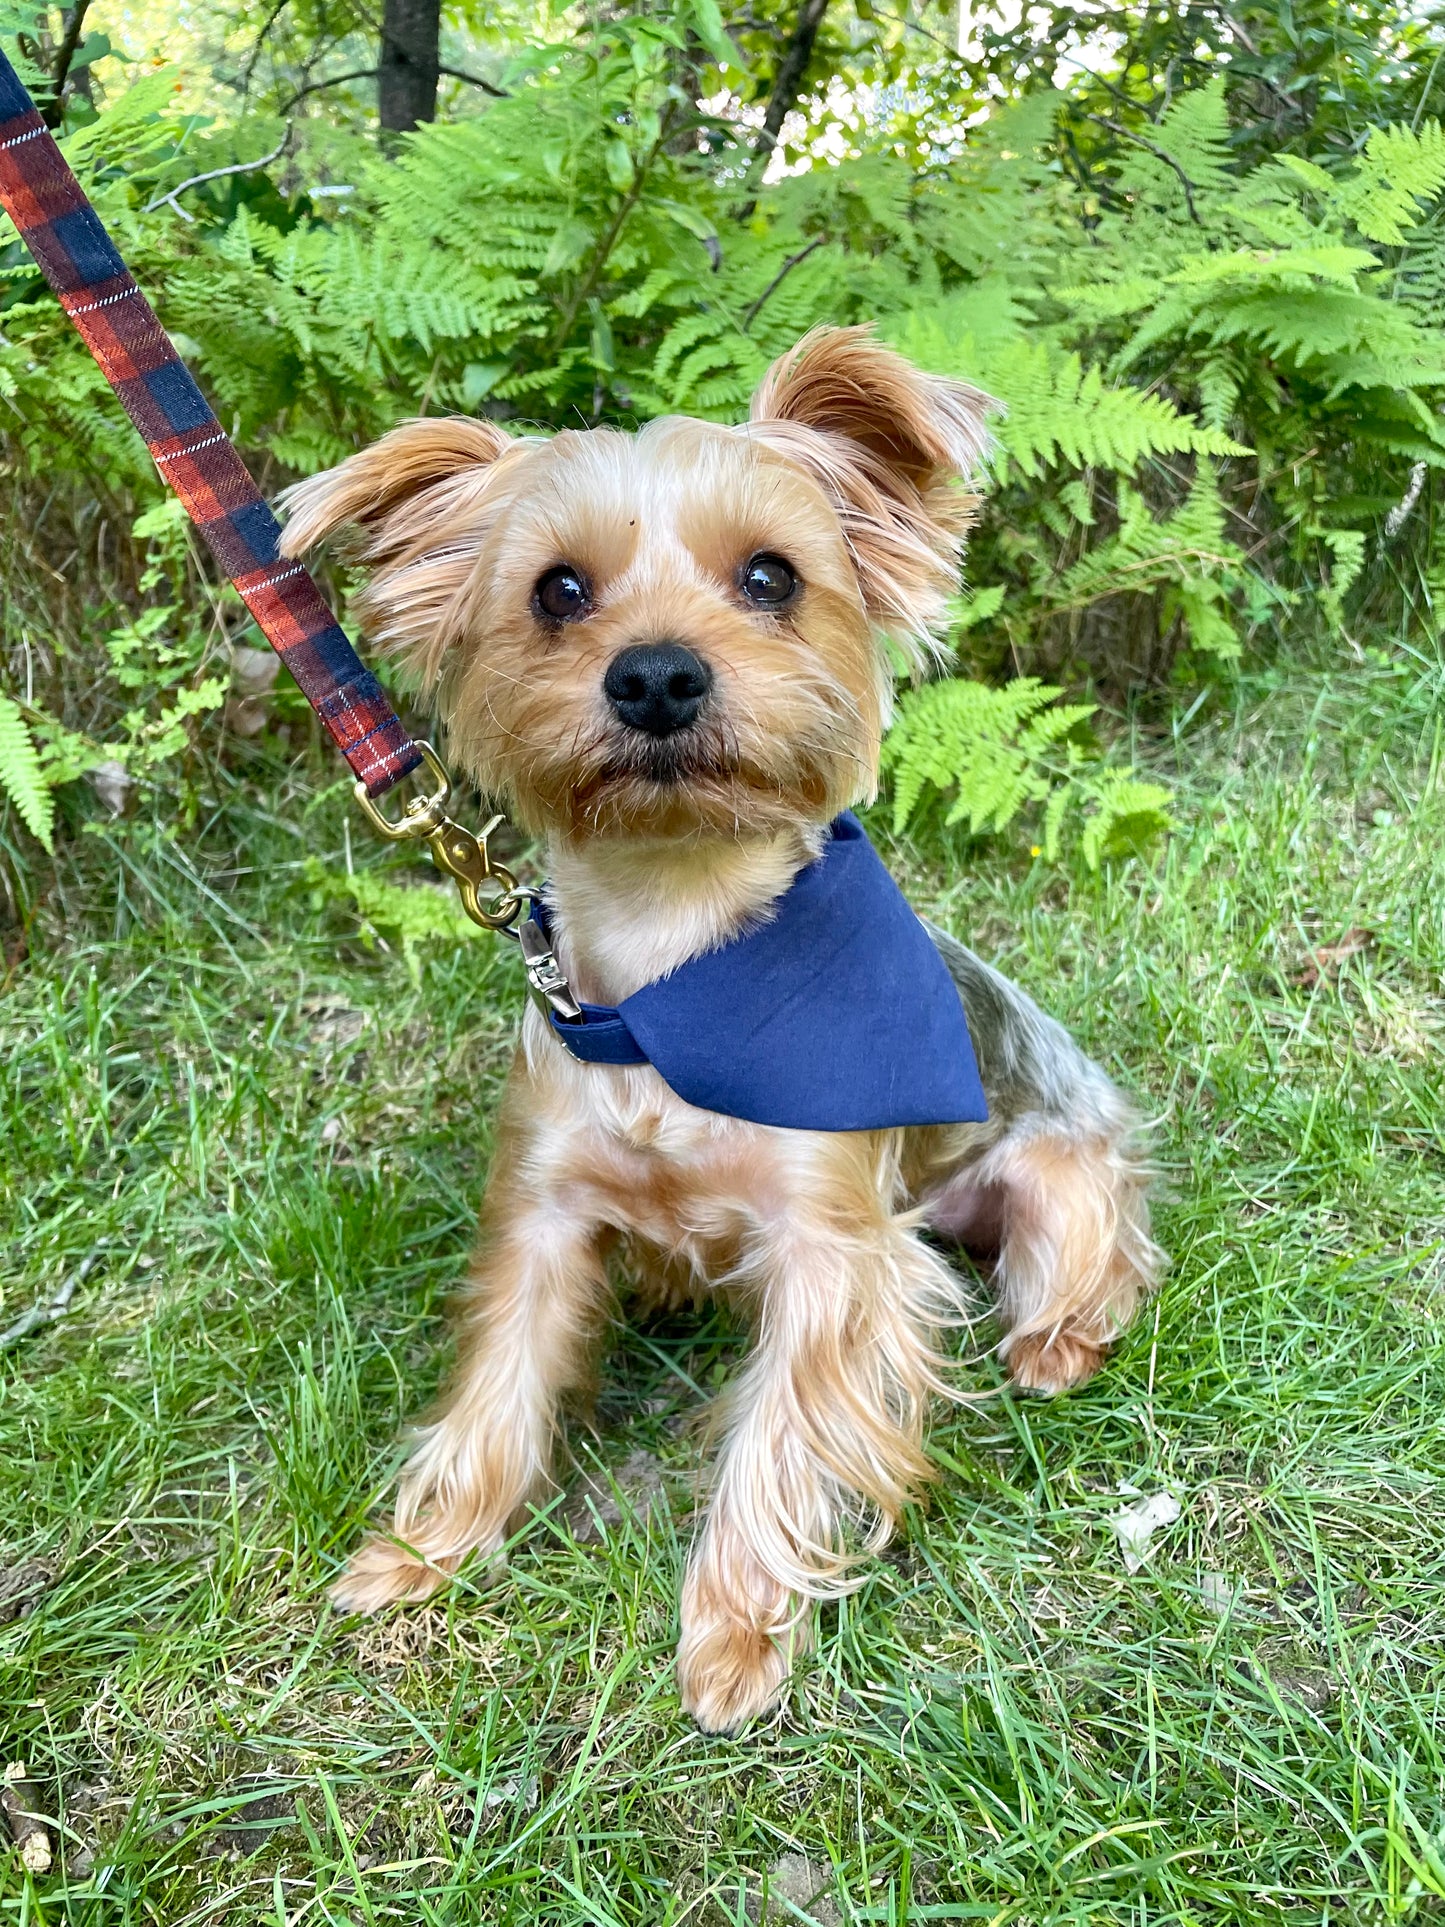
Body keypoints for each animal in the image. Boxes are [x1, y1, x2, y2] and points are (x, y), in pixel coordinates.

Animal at [283, 327, 1163, 1734]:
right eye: (556, 591)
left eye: (770, 575)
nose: (654, 674)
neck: (674, 970)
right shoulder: (543, 1210)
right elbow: (500, 1379)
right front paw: (426, 1548)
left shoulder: (832, 1246)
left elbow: (785, 1431)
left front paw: (735, 1640)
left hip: (1062, 1173)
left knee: (1093, 1260)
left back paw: (1053, 1345)